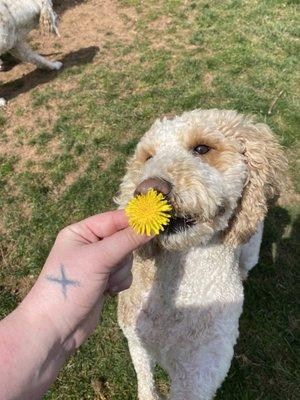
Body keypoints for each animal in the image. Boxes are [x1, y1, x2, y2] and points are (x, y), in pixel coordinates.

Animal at [116, 109, 288, 400]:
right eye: (148, 157)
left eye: (201, 148)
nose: (147, 188)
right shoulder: (136, 340)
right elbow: (146, 382)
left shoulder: (197, 377)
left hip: (251, 244)